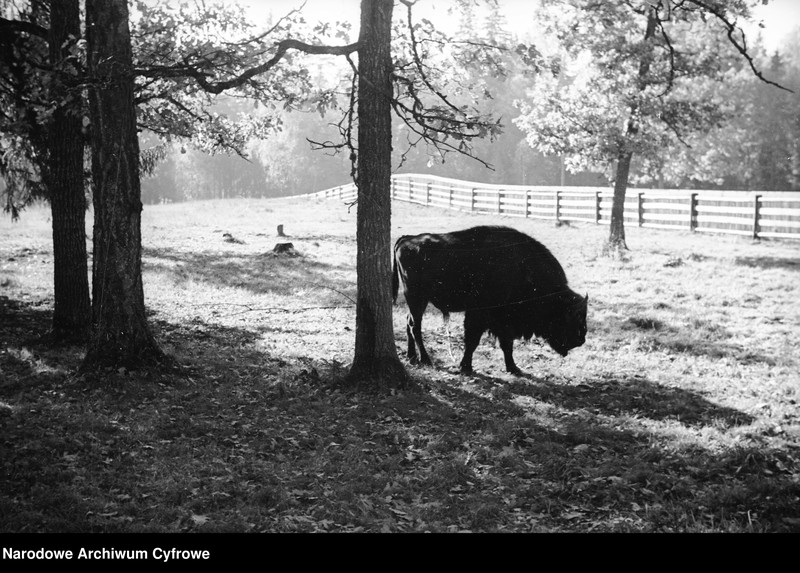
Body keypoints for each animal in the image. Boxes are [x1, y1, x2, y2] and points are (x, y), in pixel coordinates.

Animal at [394, 223, 588, 376]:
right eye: (573, 315)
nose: (581, 339)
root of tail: (406, 239)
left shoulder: (504, 321)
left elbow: (506, 345)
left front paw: (514, 368)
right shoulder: (480, 315)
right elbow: (473, 341)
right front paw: (466, 367)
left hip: (418, 300)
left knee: (409, 323)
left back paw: (412, 357)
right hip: (416, 297)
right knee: (415, 326)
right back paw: (426, 359)